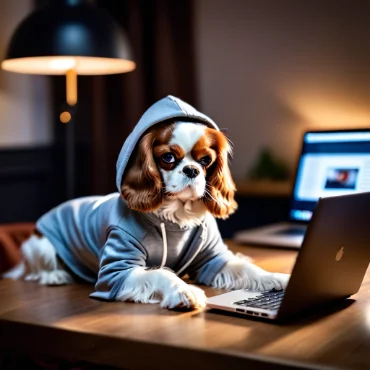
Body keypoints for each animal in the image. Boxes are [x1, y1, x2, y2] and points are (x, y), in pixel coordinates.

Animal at [5, 96, 290, 310]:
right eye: (168, 157)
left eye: (206, 160)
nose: (191, 170)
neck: (176, 219)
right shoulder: (117, 271)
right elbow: (161, 273)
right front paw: (184, 292)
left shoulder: (213, 259)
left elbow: (246, 268)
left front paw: (277, 278)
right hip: (39, 246)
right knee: (35, 269)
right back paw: (54, 275)